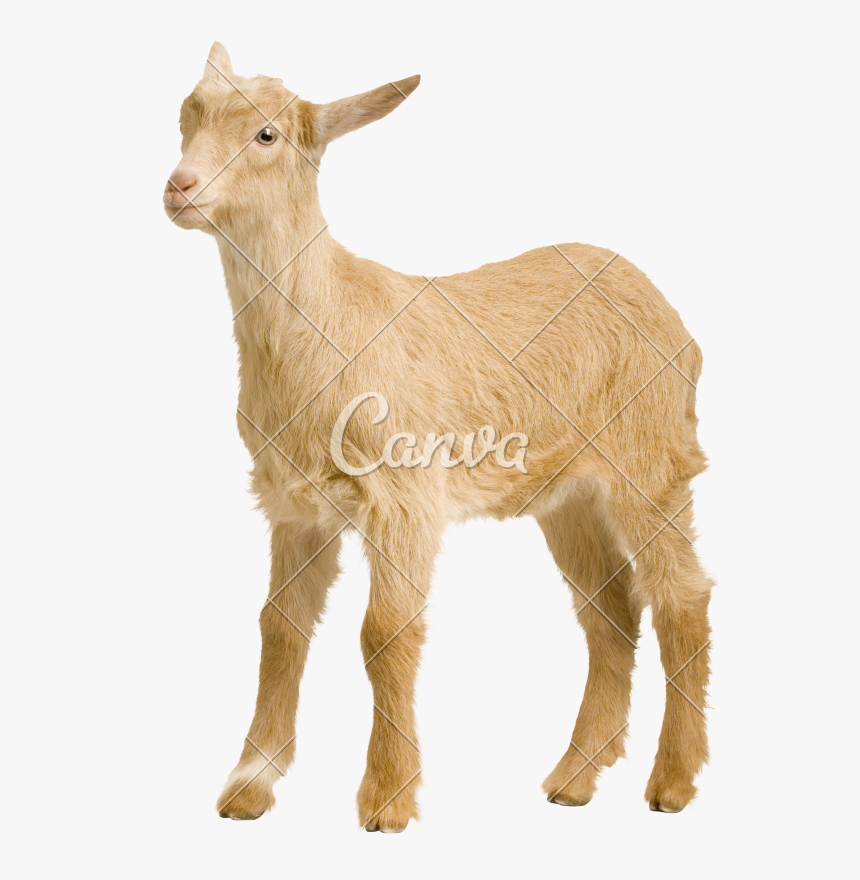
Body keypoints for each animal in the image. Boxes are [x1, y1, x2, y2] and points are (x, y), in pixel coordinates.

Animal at [164, 42, 713, 832]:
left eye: (266, 134)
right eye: (187, 116)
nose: (179, 188)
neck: (330, 322)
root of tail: (669, 310)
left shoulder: (404, 496)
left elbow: (384, 634)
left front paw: (388, 799)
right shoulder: (294, 506)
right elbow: (279, 627)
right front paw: (250, 786)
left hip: (654, 459)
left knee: (682, 599)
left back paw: (672, 782)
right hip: (570, 497)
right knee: (610, 614)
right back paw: (574, 778)